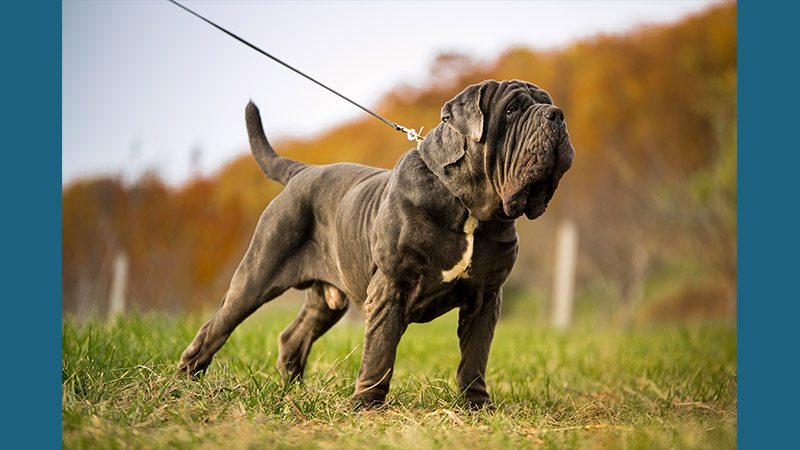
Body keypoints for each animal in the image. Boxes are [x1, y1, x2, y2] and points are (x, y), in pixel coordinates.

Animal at [177, 79, 576, 410]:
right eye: (513, 109)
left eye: (547, 103)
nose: (557, 115)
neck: (467, 206)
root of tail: (301, 171)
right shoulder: (390, 287)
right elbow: (380, 350)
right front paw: (366, 405)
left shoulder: (486, 297)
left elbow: (475, 356)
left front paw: (477, 406)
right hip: (256, 275)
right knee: (216, 327)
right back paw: (186, 383)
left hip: (327, 300)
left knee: (293, 337)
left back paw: (295, 393)